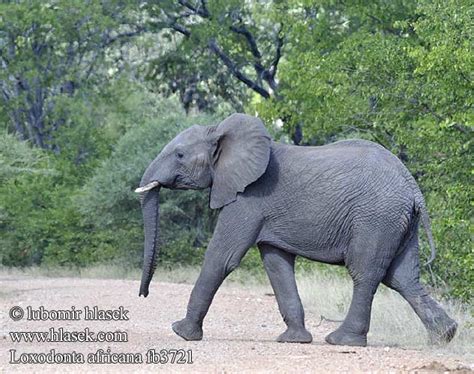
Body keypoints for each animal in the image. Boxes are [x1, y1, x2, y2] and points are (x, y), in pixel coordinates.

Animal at [134, 112, 460, 346]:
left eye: (179, 155)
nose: (143, 295)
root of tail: (413, 188)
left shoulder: (249, 198)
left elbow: (222, 257)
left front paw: (181, 332)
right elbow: (276, 265)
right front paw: (294, 340)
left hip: (377, 218)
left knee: (365, 273)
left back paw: (341, 341)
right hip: (399, 222)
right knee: (403, 277)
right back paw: (444, 338)